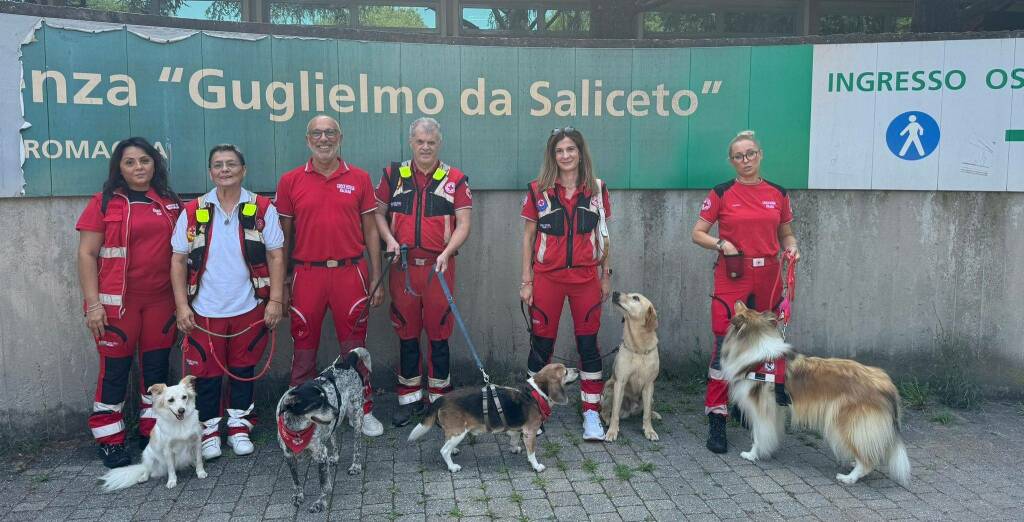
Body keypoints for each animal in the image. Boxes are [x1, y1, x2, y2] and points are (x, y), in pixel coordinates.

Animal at [276, 348, 368, 511]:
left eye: (326, 397)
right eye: (317, 402)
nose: (337, 411)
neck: (297, 430)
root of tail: (346, 362)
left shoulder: (320, 455)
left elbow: (324, 485)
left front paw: (321, 503)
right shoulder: (289, 456)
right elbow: (296, 481)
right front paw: (299, 496)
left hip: (357, 415)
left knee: (357, 446)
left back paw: (355, 466)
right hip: (332, 425)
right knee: (334, 438)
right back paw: (335, 458)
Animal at [598, 290, 663, 442]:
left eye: (636, 298)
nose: (615, 292)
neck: (638, 347)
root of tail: (629, 411)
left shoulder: (649, 385)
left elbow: (646, 415)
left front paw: (649, 430)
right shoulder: (620, 382)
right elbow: (615, 413)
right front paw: (612, 431)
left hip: (651, 397)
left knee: (646, 410)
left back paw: (654, 414)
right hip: (609, 389)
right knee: (605, 411)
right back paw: (607, 420)